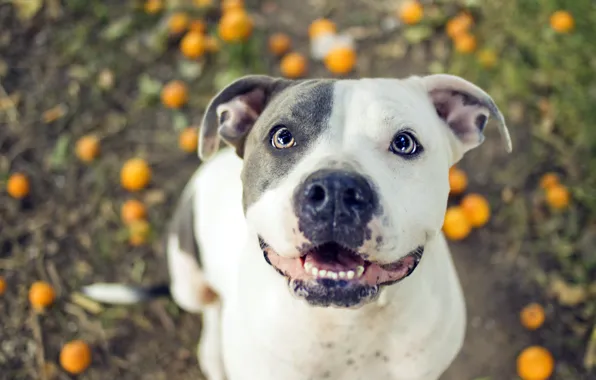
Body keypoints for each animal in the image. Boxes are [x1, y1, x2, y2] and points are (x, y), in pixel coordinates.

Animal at [82, 73, 512, 380]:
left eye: (405, 143)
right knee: (209, 308)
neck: (345, 327)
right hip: (187, 274)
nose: (336, 190)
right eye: (282, 137)